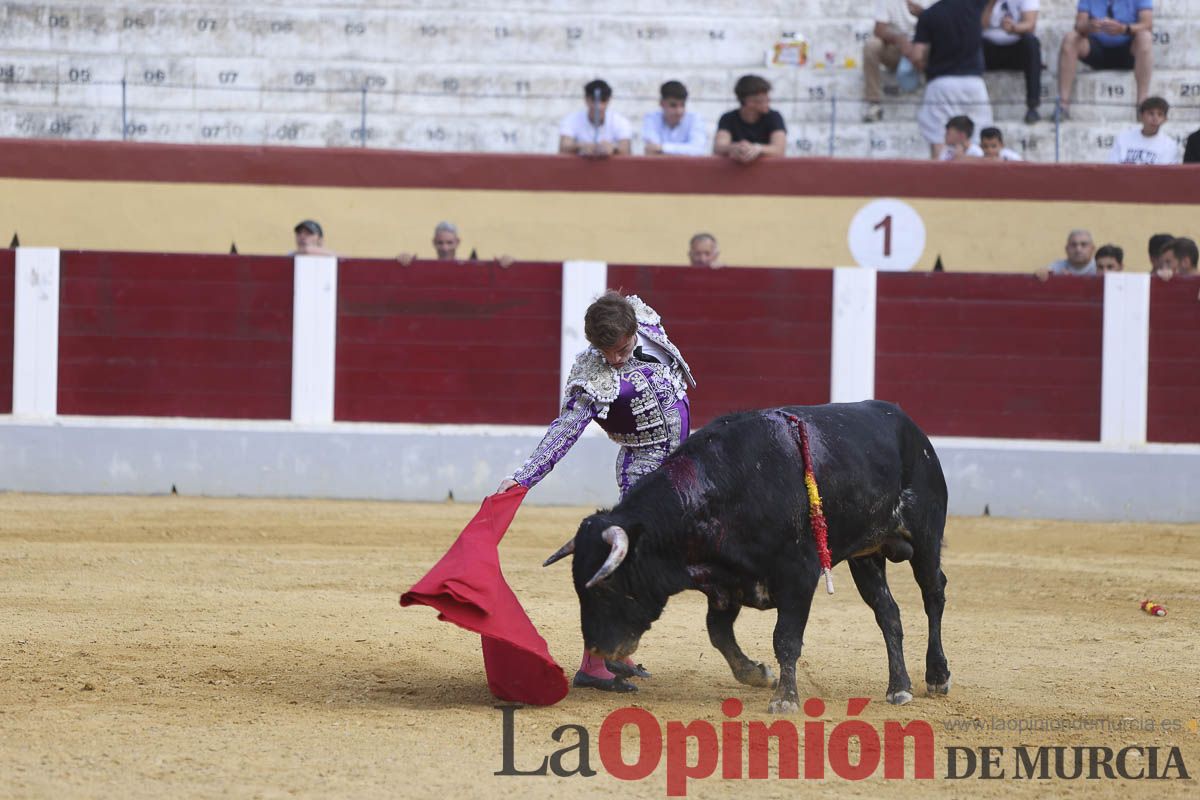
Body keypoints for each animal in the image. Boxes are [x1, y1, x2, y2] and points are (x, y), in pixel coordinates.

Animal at [549, 400, 950, 714]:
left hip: (926, 537)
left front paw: (784, 699)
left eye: (605, 587)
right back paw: (899, 687)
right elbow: (718, 633)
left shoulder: (799, 575)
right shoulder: (726, 584)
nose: (599, 648)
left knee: (934, 594)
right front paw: (758, 674)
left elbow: (785, 638)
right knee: (888, 611)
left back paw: (937, 675)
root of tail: (908, 425)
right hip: (865, 556)